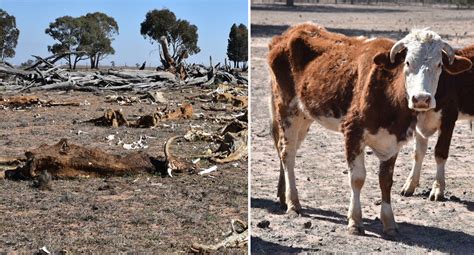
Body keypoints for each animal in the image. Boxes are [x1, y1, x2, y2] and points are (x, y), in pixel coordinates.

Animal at [400, 45, 474, 201]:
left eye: (439, 64)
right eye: (407, 63)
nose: (421, 99)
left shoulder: (448, 120)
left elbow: (440, 153)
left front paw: (437, 189)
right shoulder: (417, 123)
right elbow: (418, 153)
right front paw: (409, 185)